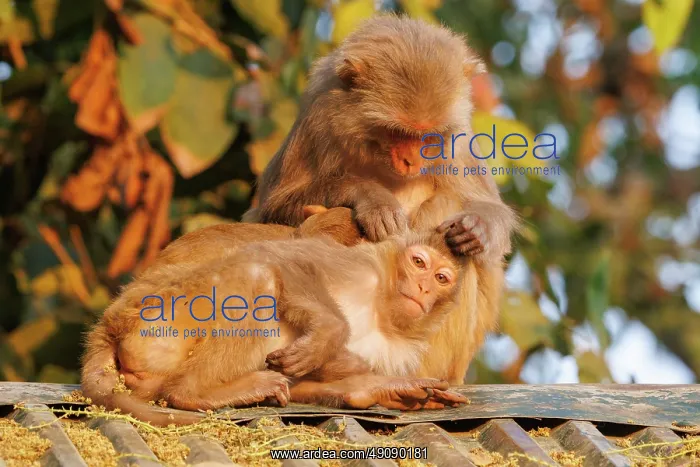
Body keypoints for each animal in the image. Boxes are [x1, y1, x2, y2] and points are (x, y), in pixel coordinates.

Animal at [81, 230, 469, 426]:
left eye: (441, 278)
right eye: (418, 262)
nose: (423, 288)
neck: (381, 309)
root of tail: (110, 323)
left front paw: (381, 389)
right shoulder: (361, 267)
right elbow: (285, 258)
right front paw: (328, 335)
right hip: (165, 313)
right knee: (258, 273)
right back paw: (191, 393)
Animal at [242, 15, 519, 384]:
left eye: (428, 137)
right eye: (398, 132)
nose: (411, 161)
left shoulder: (457, 144)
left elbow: (489, 212)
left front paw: (478, 227)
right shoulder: (318, 120)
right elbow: (275, 207)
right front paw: (373, 200)